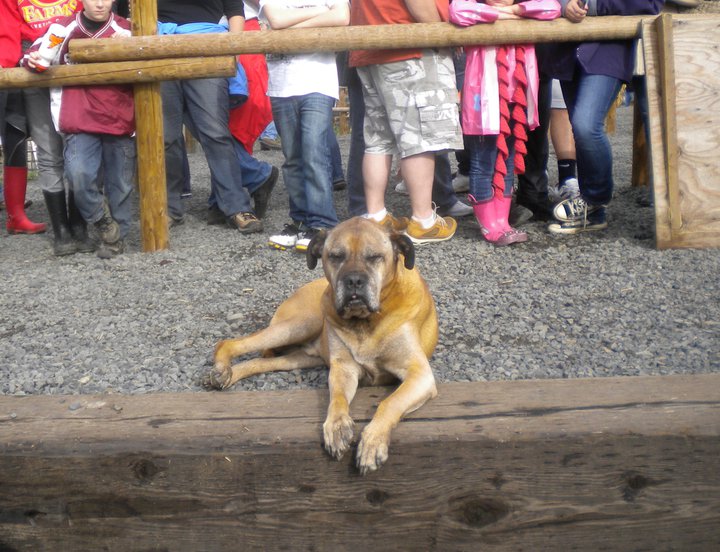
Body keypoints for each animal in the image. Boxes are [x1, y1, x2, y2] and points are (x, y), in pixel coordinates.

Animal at [208, 216, 438, 474]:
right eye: (336, 256)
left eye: (375, 256)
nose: (354, 280)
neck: (365, 321)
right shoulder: (343, 368)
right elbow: (337, 398)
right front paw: (337, 427)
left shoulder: (419, 374)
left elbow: (390, 402)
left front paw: (373, 441)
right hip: (300, 324)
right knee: (229, 342)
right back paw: (221, 368)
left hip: (298, 356)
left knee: (259, 361)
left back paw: (229, 374)